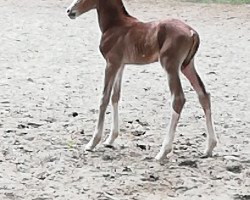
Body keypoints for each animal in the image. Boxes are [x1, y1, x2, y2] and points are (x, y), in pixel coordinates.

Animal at [66, 0, 217, 161]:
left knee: (178, 99)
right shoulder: (120, 65)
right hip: (187, 66)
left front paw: (92, 143)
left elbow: (104, 98)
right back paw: (209, 147)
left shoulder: (111, 64)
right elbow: (115, 96)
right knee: (203, 95)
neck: (115, 25)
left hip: (170, 65)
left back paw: (163, 152)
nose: (69, 11)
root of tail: (191, 31)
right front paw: (111, 139)